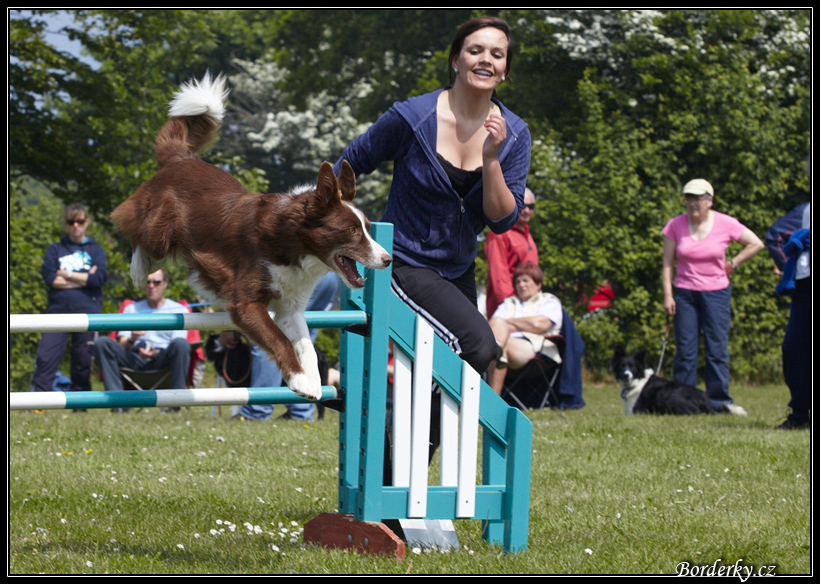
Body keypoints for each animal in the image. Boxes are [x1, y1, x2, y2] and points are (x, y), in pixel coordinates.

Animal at [111, 73, 390, 400]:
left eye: (368, 227)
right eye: (351, 230)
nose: (388, 259)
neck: (292, 243)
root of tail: (181, 158)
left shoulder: (290, 306)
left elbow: (306, 345)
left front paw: (312, 381)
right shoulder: (245, 302)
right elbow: (280, 339)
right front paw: (298, 380)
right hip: (161, 229)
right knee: (136, 232)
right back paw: (138, 270)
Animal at [612, 346, 748, 416]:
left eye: (633, 367)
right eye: (622, 366)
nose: (626, 375)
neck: (637, 382)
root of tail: (707, 404)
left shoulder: (634, 410)